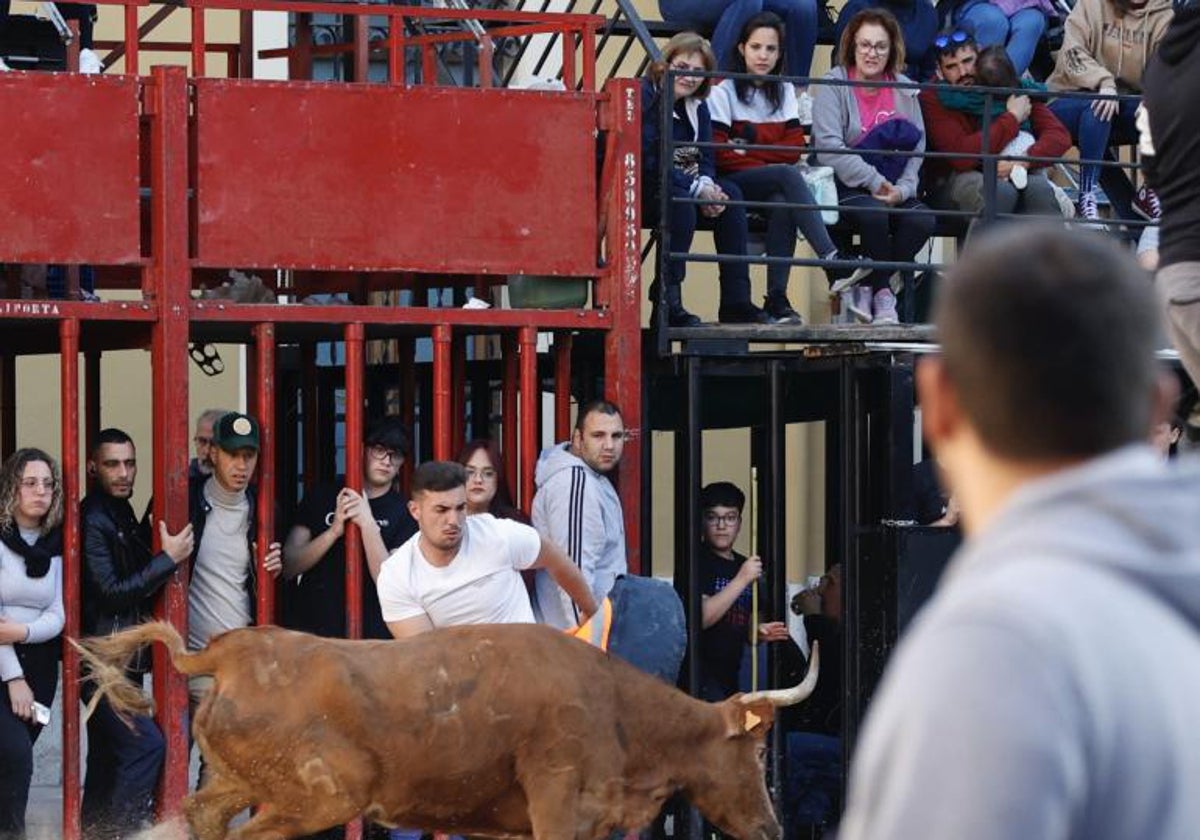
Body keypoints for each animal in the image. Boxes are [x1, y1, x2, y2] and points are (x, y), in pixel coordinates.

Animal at [75, 619, 816, 835]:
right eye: (756, 753)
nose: (772, 828)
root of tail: (229, 653)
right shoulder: (558, 803)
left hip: (239, 781)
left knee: (203, 812)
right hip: (320, 797)